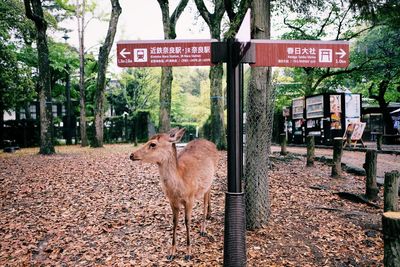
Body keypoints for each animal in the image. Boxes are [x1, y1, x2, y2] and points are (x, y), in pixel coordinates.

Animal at [130, 127, 219, 262]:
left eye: (153, 144)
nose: (132, 155)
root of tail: (212, 143)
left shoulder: (190, 198)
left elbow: (187, 221)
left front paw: (188, 253)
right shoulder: (172, 201)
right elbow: (174, 221)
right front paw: (171, 253)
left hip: (211, 177)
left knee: (205, 197)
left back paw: (203, 228)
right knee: (209, 193)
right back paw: (209, 215)